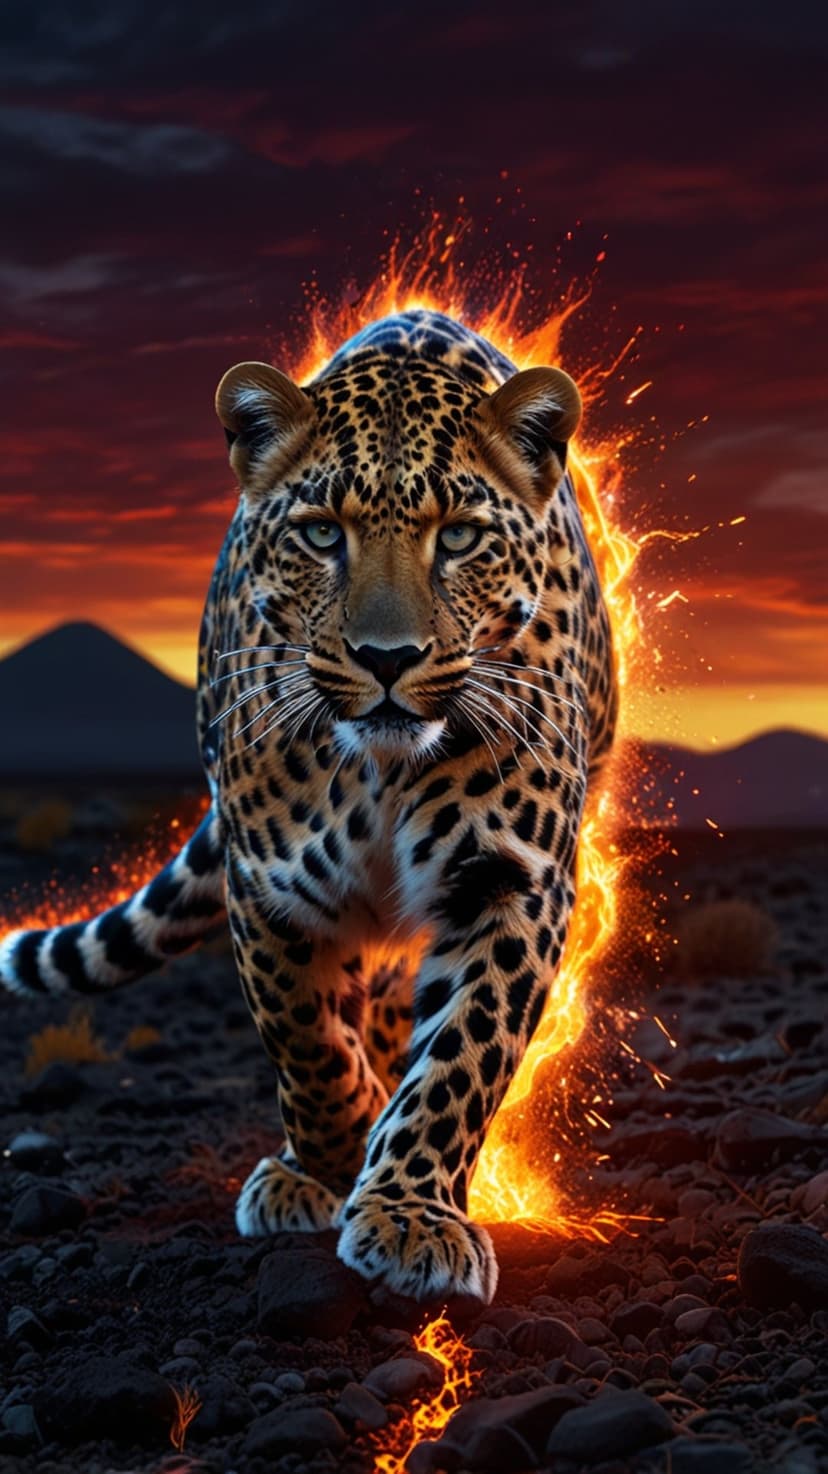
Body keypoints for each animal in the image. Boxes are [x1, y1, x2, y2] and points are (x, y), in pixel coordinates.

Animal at [0, 309, 617, 1304]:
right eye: (323, 534)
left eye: (459, 538)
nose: (387, 658)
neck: (382, 771)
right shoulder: (269, 880)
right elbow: (305, 1037)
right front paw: (337, 1151)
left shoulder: (510, 880)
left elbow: (463, 1054)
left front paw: (409, 1213)